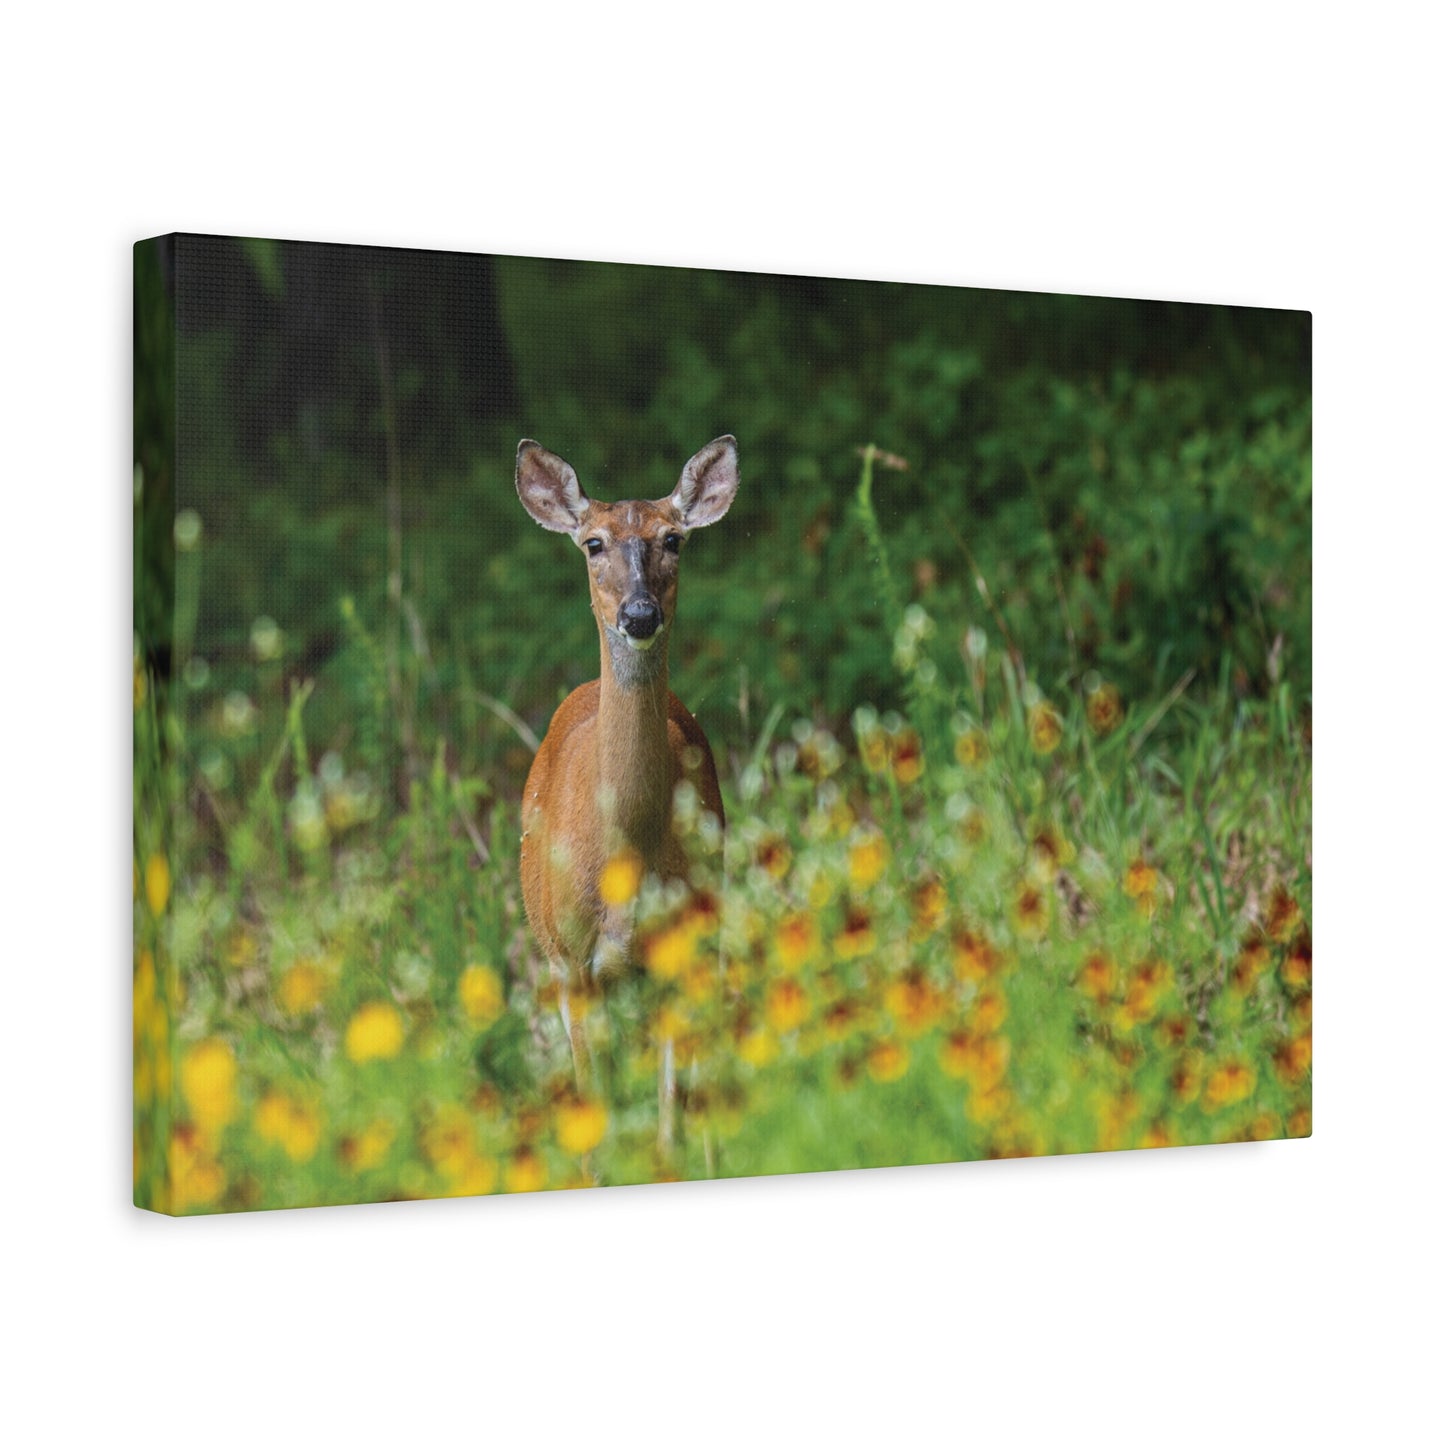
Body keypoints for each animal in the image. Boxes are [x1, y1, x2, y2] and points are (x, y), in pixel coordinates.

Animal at [515, 436, 739, 1152]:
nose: (640, 614)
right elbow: (594, 1112)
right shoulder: (572, 958)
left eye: (675, 539)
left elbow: (669, 1116)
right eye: (593, 543)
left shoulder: (678, 951)